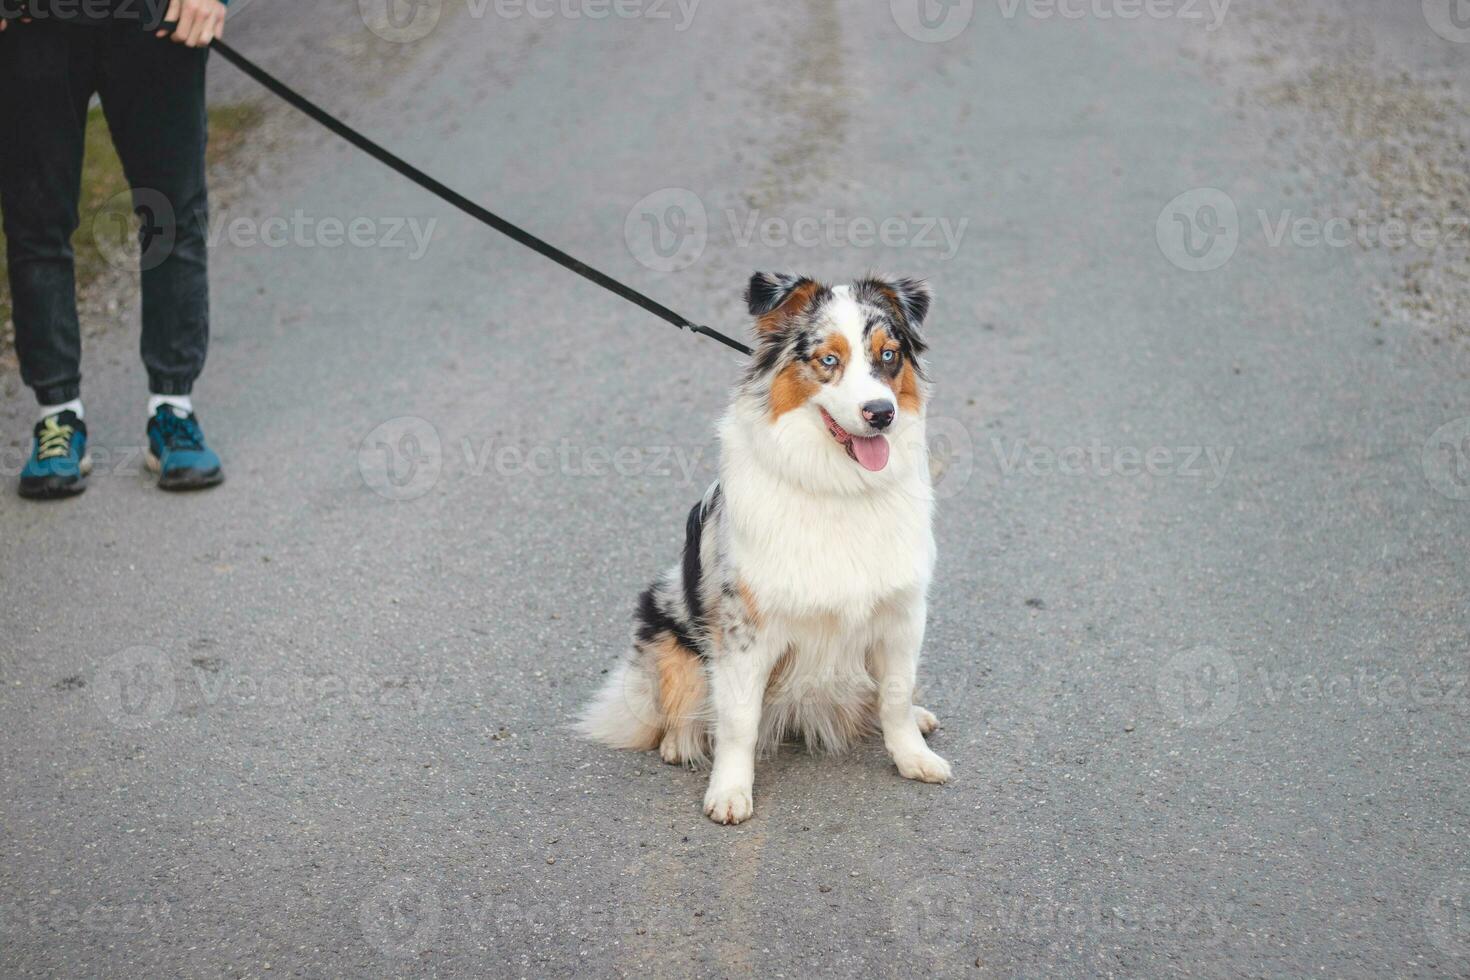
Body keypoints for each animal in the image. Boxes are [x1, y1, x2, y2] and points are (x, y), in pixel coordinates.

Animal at [579, 271, 946, 822]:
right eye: (828, 360)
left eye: (888, 355)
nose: (881, 414)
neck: (838, 487)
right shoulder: (745, 629)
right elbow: (737, 720)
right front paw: (730, 791)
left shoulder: (903, 613)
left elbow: (896, 697)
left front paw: (912, 757)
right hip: (667, 626)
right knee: (678, 702)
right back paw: (680, 742)